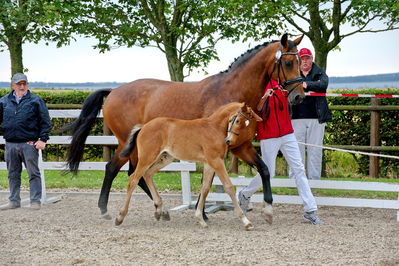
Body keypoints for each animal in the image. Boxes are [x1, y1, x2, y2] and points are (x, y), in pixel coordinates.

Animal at [115, 103, 262, 230]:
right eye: (237, 121)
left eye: (248, 123)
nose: (229, 140)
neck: (214, 128)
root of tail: (144, 126)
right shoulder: (216, 161)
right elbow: (229, 187)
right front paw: (246, 222)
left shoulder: (209, 163)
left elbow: (205, 188)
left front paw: (200, 219)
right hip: (147, 157)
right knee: (133, 179)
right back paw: (120, 217)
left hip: (165, 158)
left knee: (148, 174)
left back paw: (159, 211)